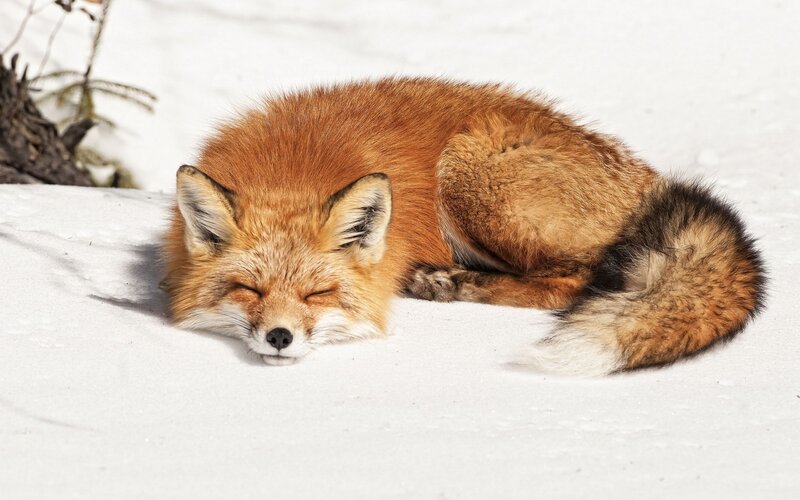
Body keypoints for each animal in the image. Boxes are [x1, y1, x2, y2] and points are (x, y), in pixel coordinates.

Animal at [162, 77, 765, 375]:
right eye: (249, 288)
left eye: (319, 293)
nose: (280, 337)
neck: (292, 169)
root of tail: (647, 178)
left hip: (468, 171)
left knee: (572, 282)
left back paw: (449, 283)